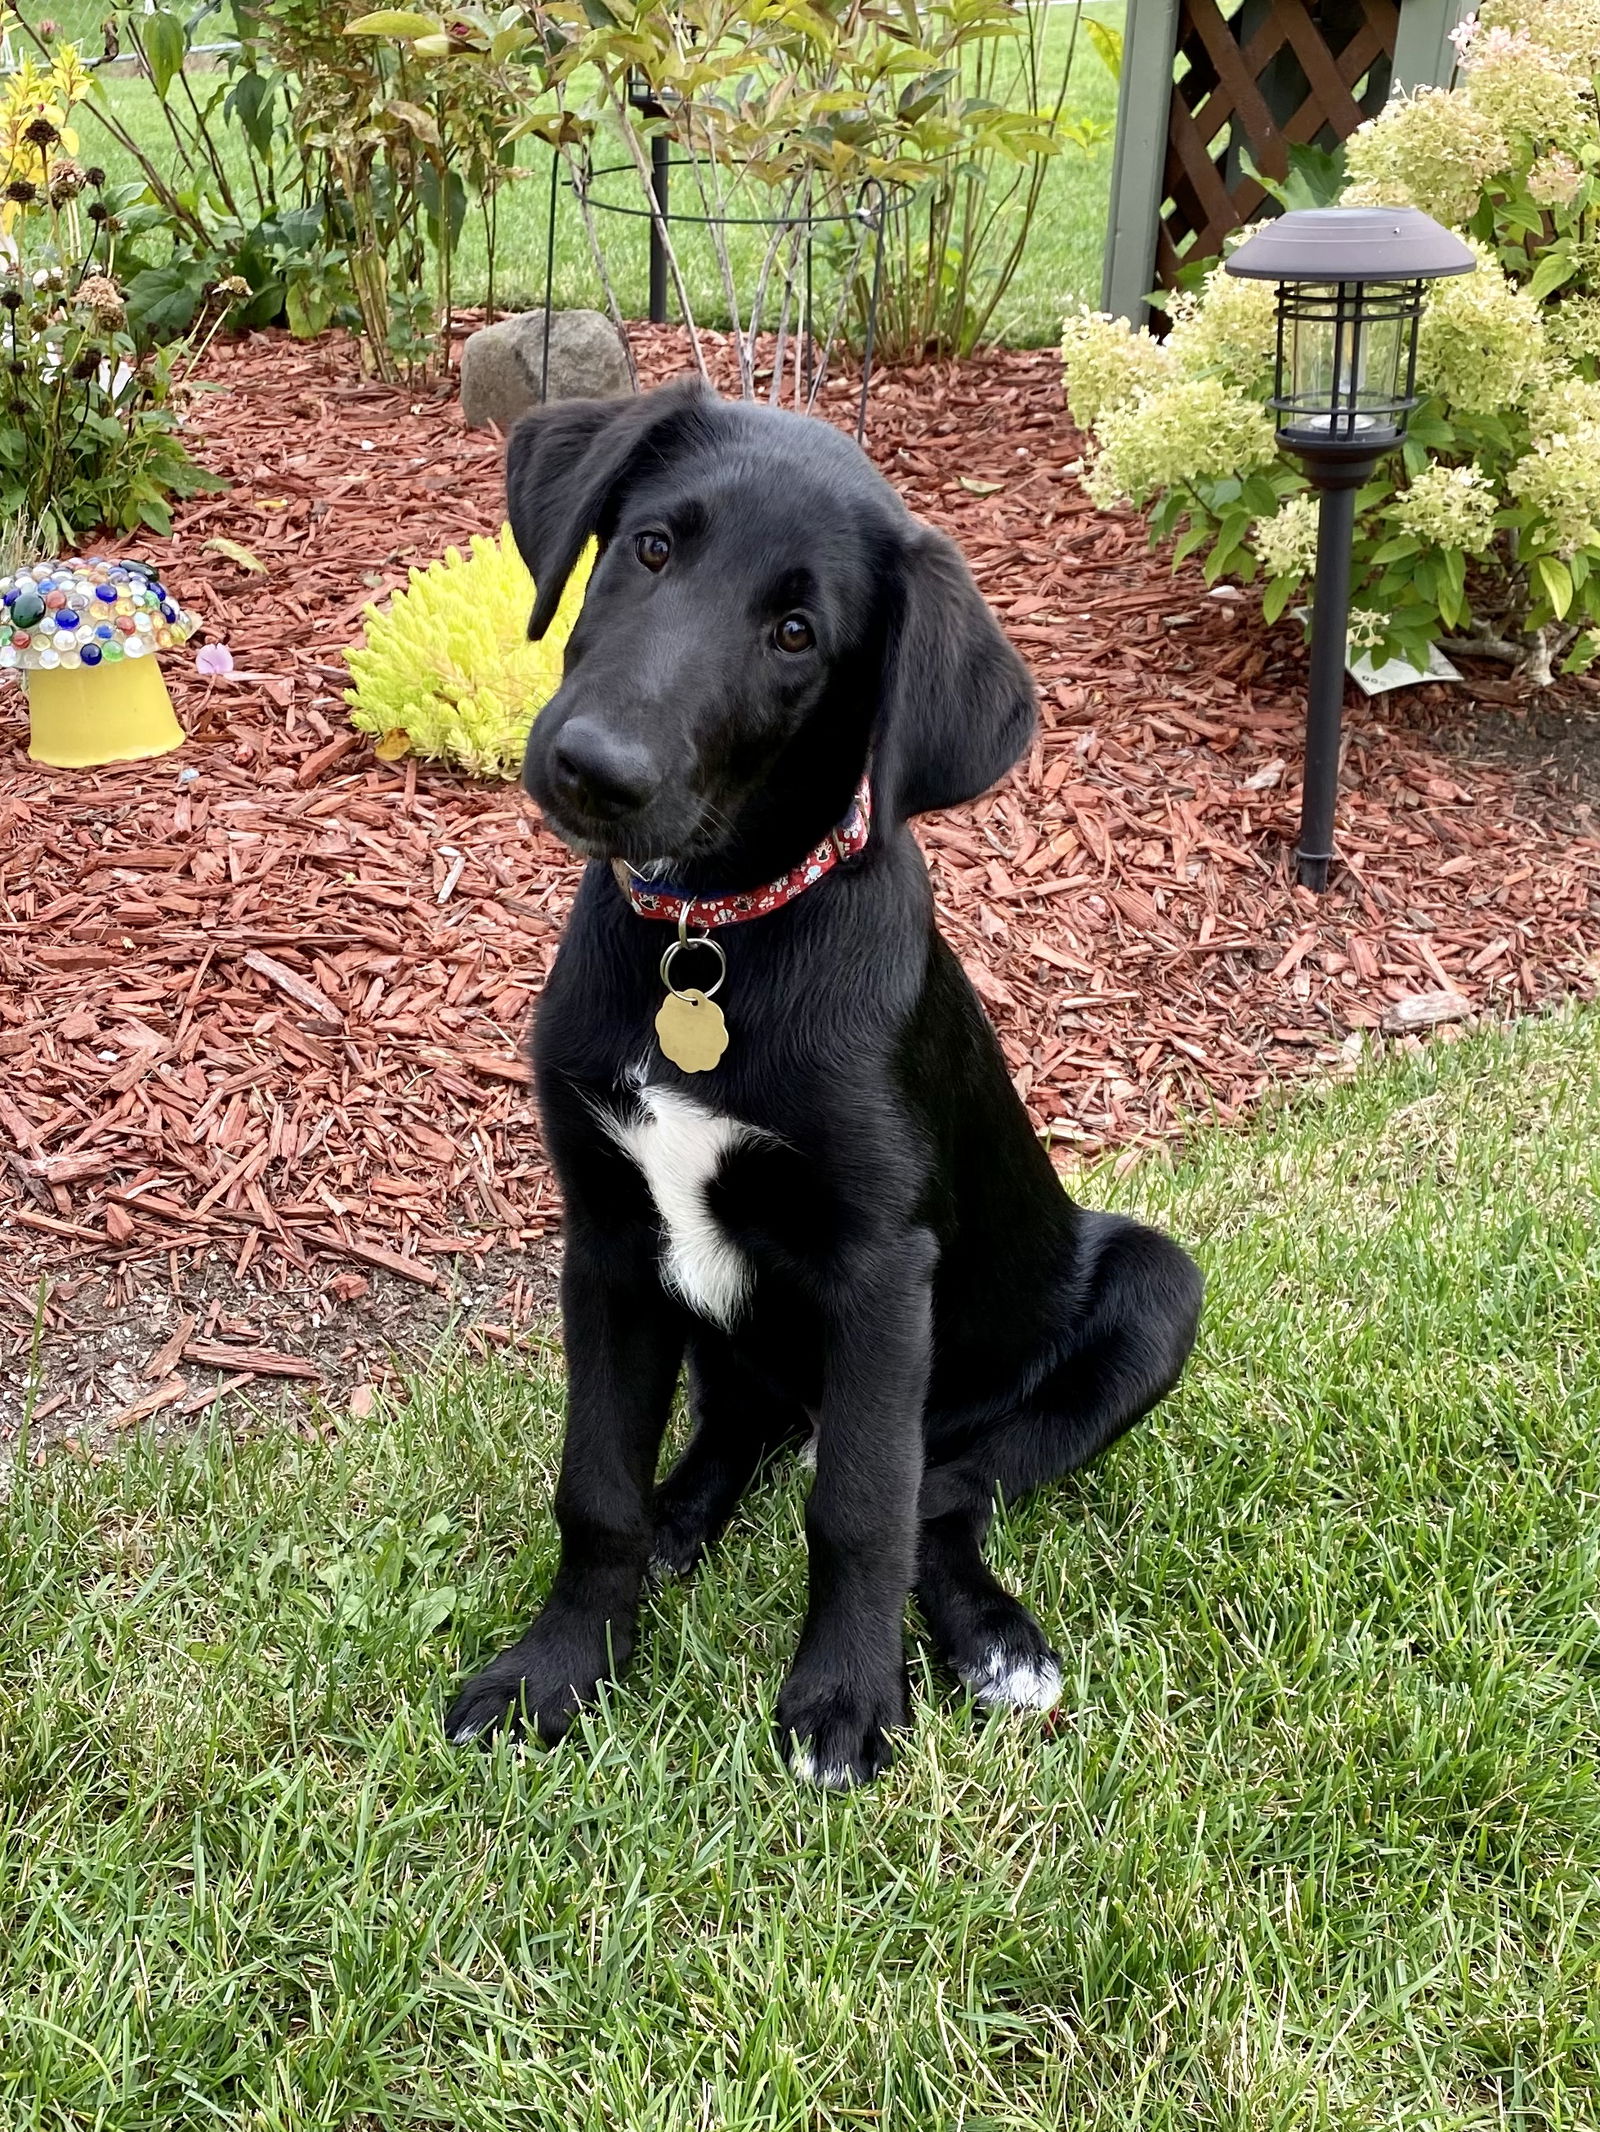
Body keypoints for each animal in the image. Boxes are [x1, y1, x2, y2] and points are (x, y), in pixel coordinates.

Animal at [448, 379, 1203, 1782]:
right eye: (650, 548)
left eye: (797, 634)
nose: (595, 767)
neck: (710, 938)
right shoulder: (608, 1237)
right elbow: (594, 1485)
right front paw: (562, 1665)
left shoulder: (879, 1266)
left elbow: (858, 1504)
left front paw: (848, 1698)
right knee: (748, 1424)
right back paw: (685, 1518)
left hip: (1143, 1294)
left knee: (941, 1491)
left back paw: (994, 1640)